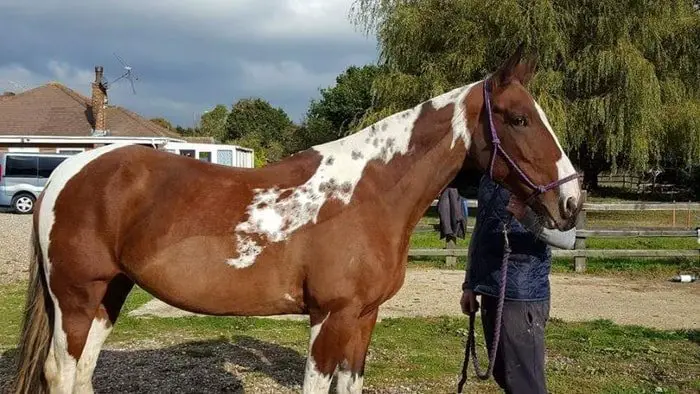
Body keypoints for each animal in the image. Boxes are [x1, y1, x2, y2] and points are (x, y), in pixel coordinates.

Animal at [12, 44, 580, 392]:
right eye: (519, 118)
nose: (571, 202)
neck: (368, 193)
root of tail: (66, 171)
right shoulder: (330, 317)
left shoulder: (362, 319)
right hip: (77, 298)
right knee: (61, 373)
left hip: (110, 293)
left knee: (83, 373)